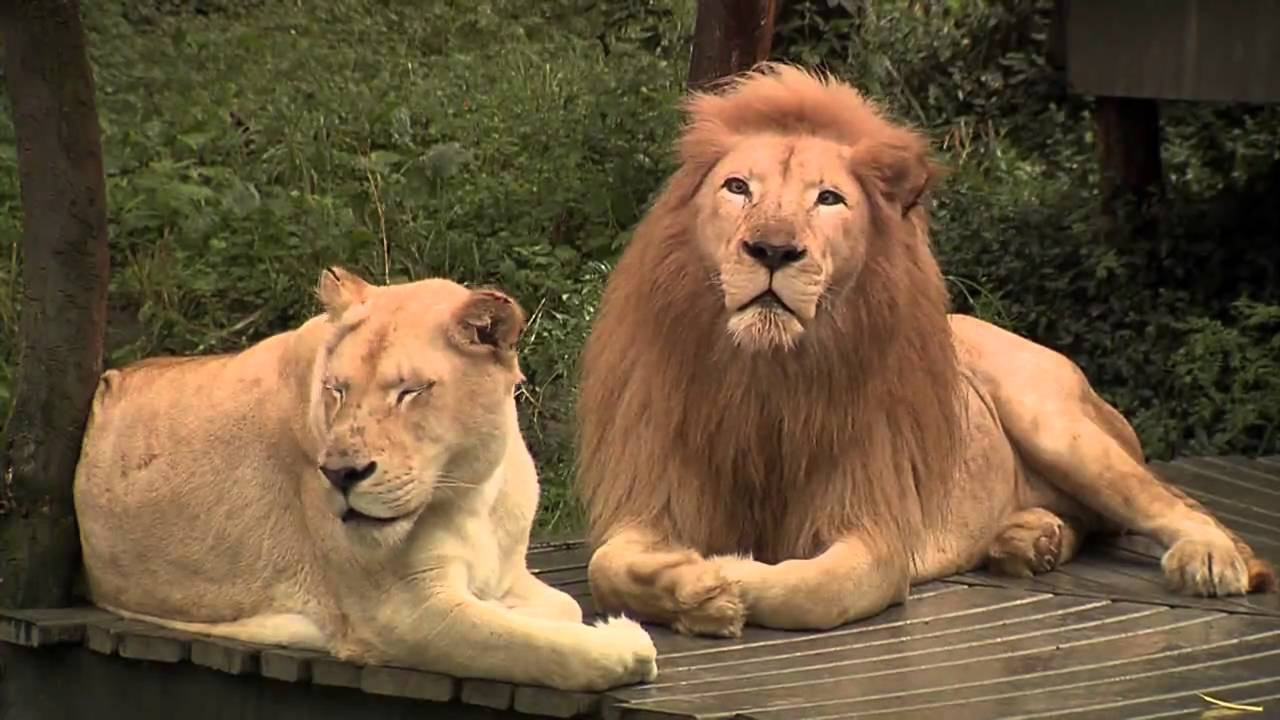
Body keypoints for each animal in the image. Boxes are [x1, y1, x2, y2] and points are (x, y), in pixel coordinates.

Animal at [72, 267, 658, 691]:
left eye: (411, 391)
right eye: (337, 389)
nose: (340, 474)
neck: (474, 491)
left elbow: (562, 606)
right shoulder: (401, 611)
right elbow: (545, 647)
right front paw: (622, 641)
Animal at [574, 63, 1277, 638]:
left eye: (828, 199)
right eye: (738, 188)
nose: (773, 250)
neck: (768, 376)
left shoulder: (876, 534)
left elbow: (806, 589)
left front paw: (713, 579)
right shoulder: (654, 492)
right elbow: (605, 565)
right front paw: (688, 583)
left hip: (1054, 419)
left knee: (1178, 505)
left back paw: (1211, 557)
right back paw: (1030, 540)